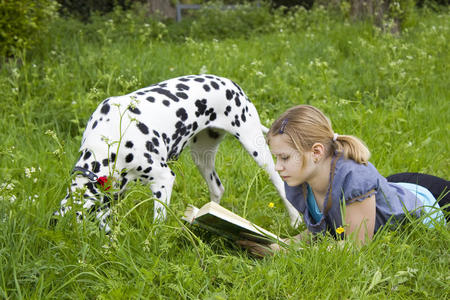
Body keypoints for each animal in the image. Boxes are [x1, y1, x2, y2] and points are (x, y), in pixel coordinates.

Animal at [58, 73, 300, 232]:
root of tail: (231, 84)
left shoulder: (163, 179)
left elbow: (157, 222)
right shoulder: (117, 190)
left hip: (256, 149)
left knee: (279, 182)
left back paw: (295, 220)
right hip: (202, 157)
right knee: (217, 188)